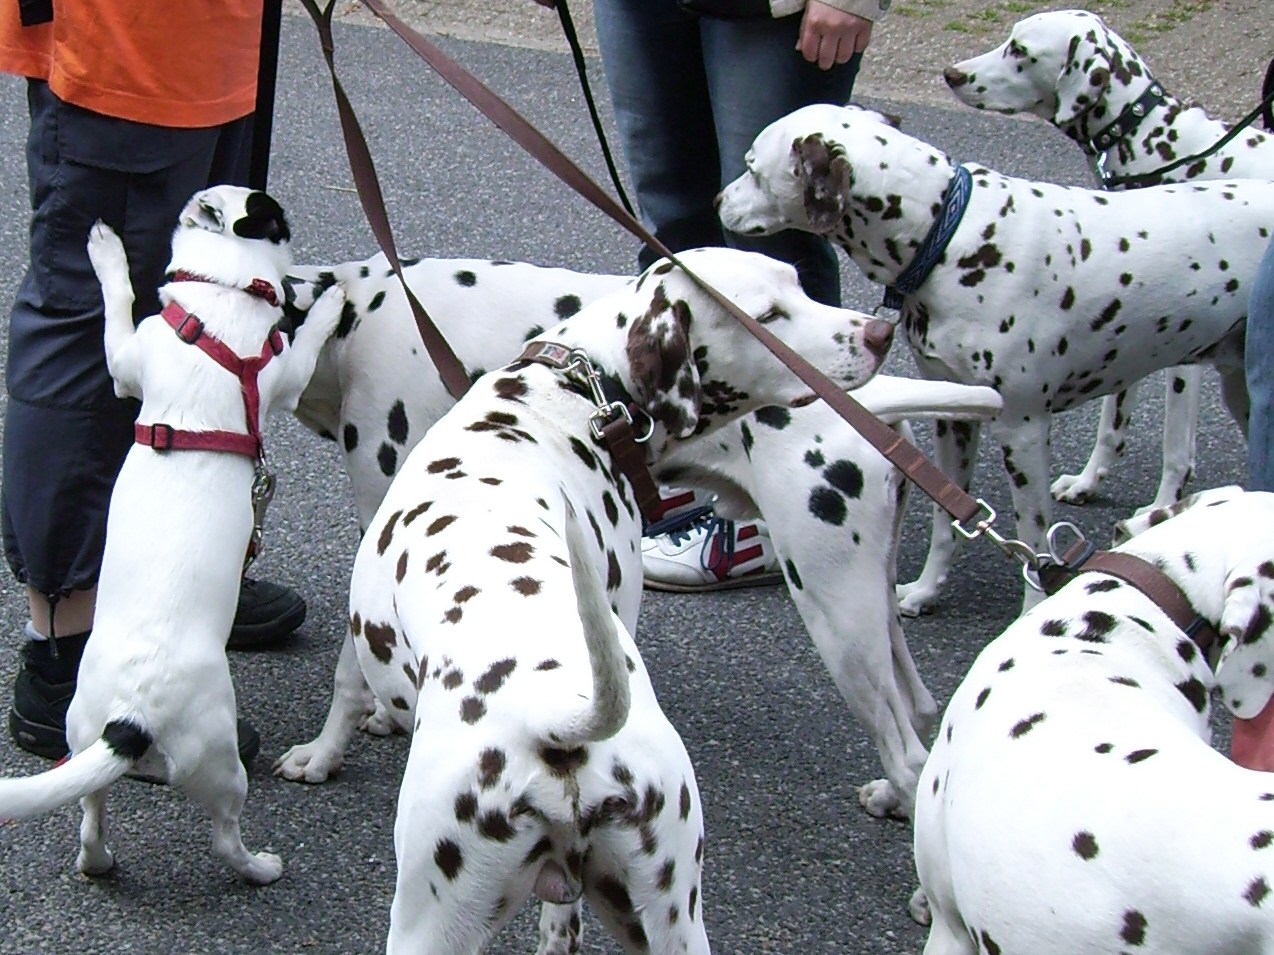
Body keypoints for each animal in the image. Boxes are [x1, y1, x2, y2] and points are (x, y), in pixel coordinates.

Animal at [0, 187, 346, 891]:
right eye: (277, 218)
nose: (320, 280)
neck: (217, 299)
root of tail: (132, 716)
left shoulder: (127, 362)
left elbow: (117, 308)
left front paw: (106, 251)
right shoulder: (282, 372)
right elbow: (301, 347)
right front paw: (327, 306)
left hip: (82, 737)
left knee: (90, 821)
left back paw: (100, 862)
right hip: (222, 766)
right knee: (224, 839)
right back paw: (261, 868)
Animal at [273, 252, 998, 825]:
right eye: (771, 309)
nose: (879, 333)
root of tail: (877, 402)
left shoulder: (383, 521)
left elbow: (346, 670)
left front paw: (324, 752)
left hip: (836, 617)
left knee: (906, 749)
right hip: (866, 604)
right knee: (919, 712)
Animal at [343, 248, 891, 955]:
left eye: (800, 286)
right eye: (768, 315)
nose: (879, 333)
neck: (576, 395)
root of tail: (561, 721)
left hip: (426, 925)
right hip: (672, 919)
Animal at [718, 104, 1274, 616]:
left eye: (752, 168)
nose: (719, 200)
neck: (948, 236)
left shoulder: (1022, 433)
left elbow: (1034, 543)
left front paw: (1031, 612)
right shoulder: (955, 421)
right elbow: (948, 523)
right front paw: (925, 591)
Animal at [947, 5, 1274, 516]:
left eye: (1020, 50)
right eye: (1009, 37)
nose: (953, 74)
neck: (1164, 146)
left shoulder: (1184, 363)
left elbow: (1175, 449)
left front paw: (1163, 508)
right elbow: (1111, 424)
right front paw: (1088, 482)